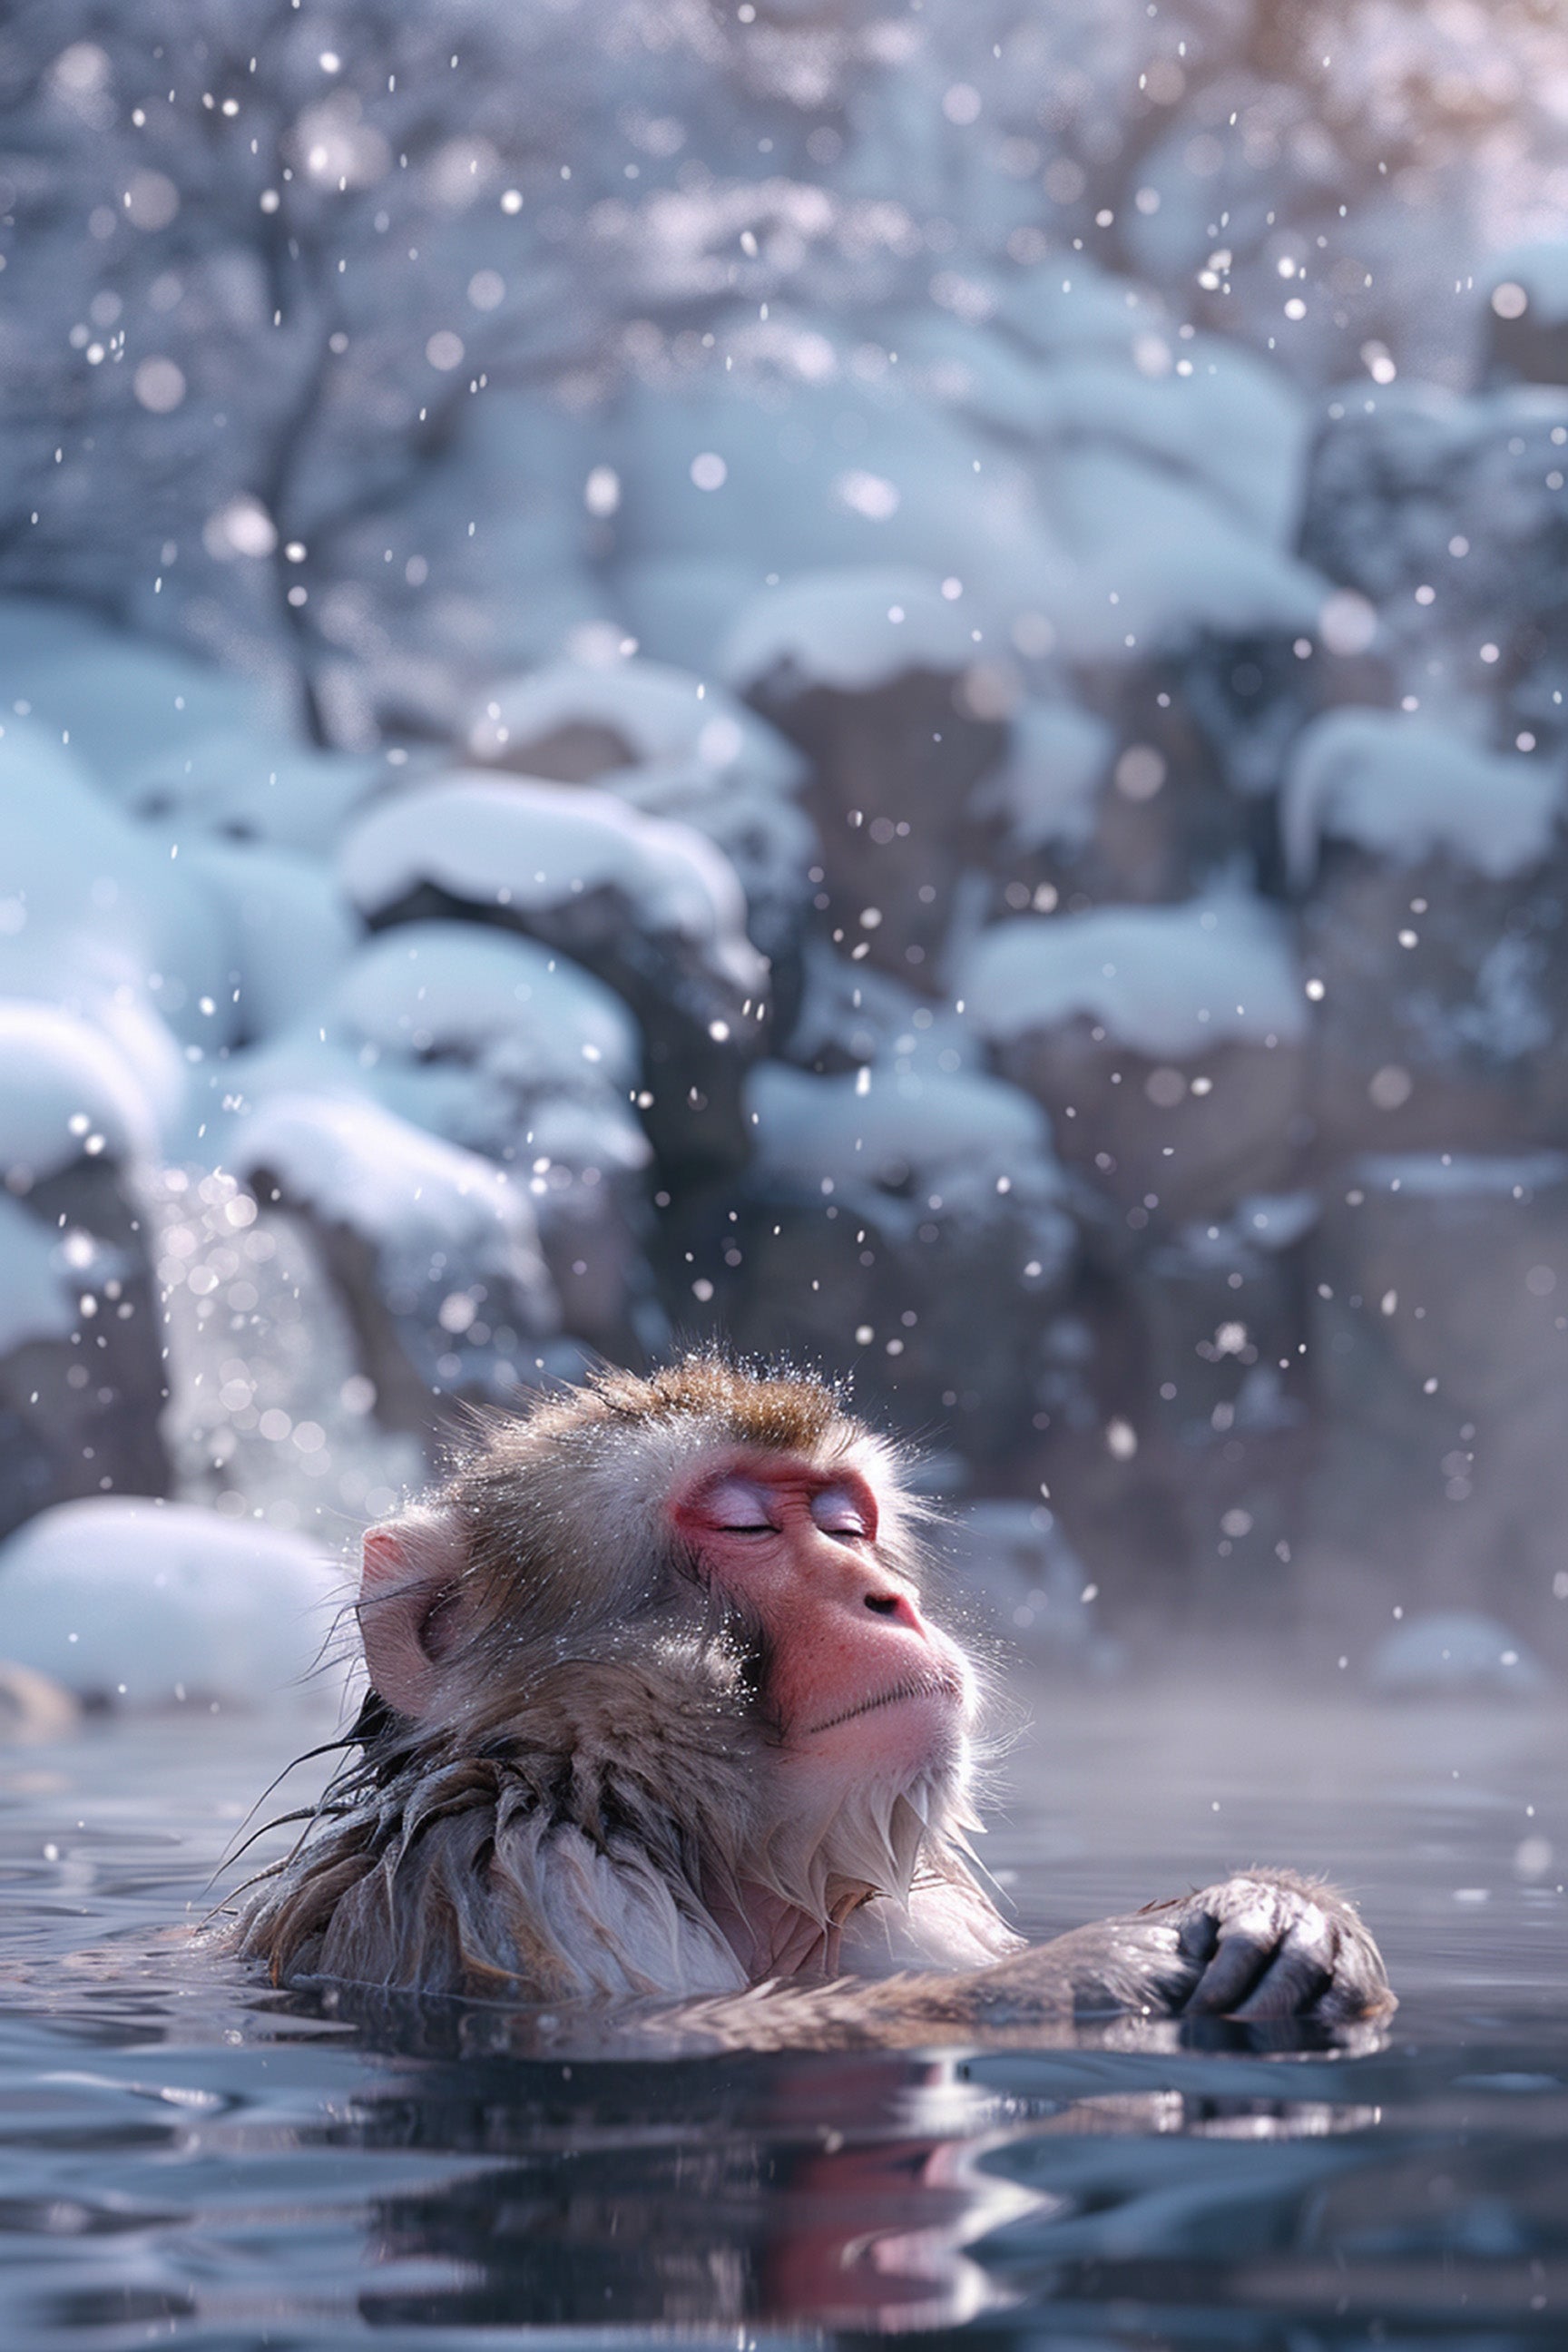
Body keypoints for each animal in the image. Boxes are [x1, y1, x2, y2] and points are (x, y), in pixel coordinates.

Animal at [234, 1355, 1392, 2044]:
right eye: (746, 1523)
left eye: (846, 1523)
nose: (887, 1596)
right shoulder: (524, 1876)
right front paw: (1123, 1949)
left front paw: (1285, 1910)